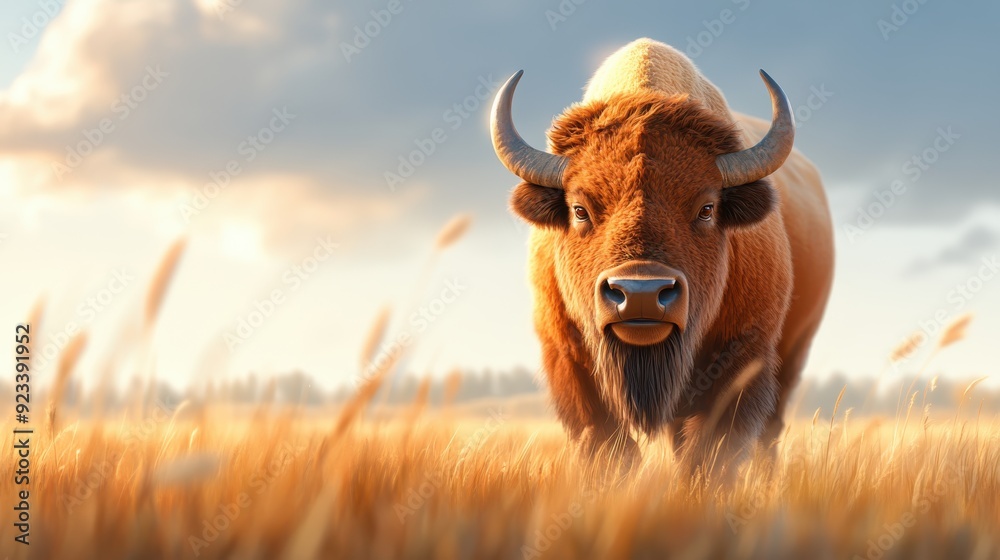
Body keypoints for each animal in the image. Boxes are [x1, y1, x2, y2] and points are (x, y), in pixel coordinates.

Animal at [490, 39, 834, 474]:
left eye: (707, 208)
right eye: (579, 209)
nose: (641, 294)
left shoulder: (742, 358)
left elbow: (708, 455)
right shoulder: (569, 358)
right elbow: (610, 449)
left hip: (793, 351)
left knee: (768, 431)